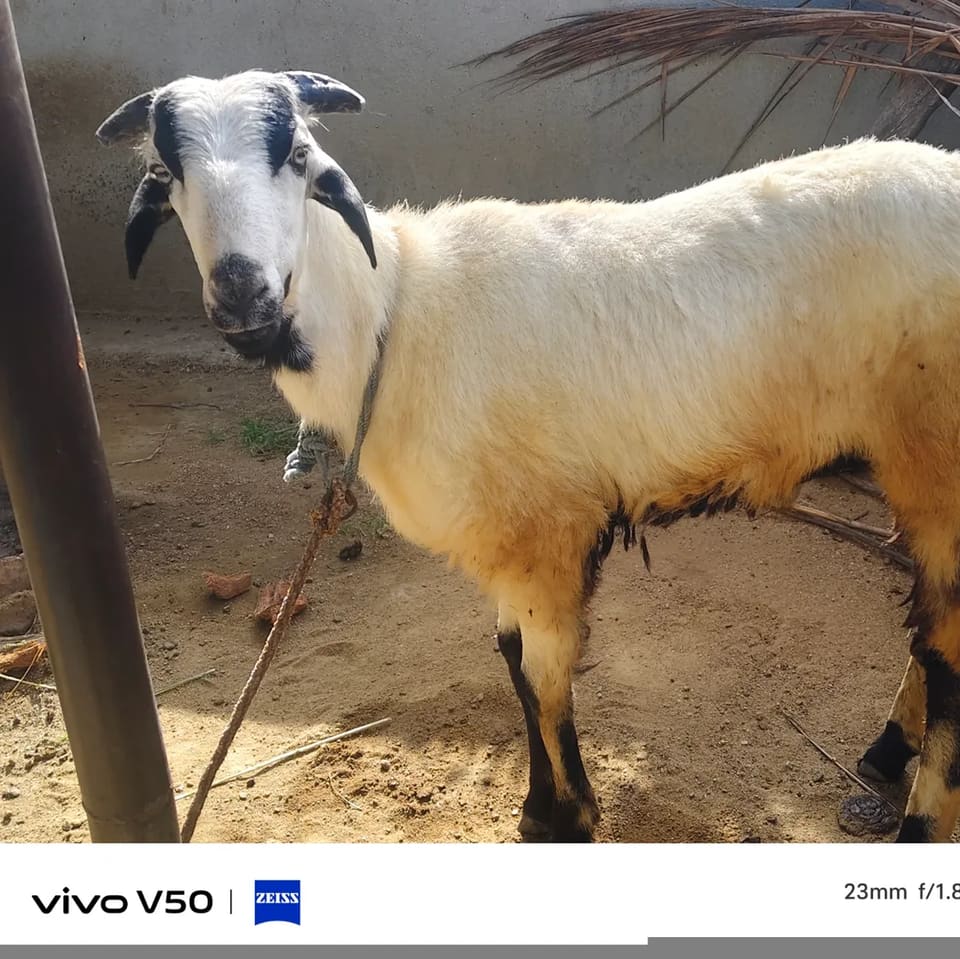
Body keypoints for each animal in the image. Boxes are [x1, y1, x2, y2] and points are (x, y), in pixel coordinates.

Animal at [97, 68, 960, 843]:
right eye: (165, 172)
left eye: (299, 157)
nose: (242, 293)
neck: (396, 319)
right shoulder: (506, 543)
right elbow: (512, 665)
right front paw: (539, 807)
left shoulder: (546, 535)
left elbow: (545, 682)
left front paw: (569, 819)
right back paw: (885, 754)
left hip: (937, 454)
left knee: (949, 648)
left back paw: (918, 822)